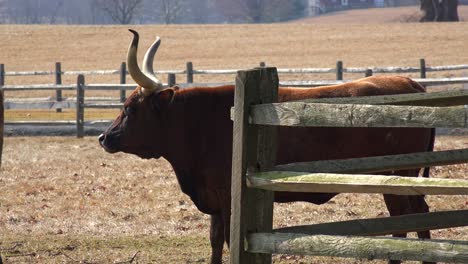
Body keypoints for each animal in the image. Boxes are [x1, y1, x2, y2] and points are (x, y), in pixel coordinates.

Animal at [98, 29, 436, 264]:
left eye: (130, 108)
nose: (104, 138)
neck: (198, 122)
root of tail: (411, 84)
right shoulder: (215, 200)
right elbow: (215, 240)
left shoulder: (230, 197)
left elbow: (229, 239)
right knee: (415, 216)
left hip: (398, 177)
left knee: (406, 220)